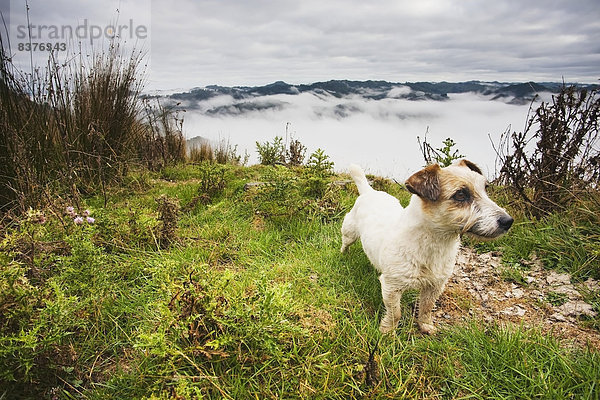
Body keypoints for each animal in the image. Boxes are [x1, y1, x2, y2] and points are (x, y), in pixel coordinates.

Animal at [340, 159, 512, 334]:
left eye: (485, 188)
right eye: (460, 195)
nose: (508, 221)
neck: (432, 243)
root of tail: (369, 192)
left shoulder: (435, 286)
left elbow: (427, 307)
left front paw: (425, 325)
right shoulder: (391, 287)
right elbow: (395, 313)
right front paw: (387, 331)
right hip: (349, 232)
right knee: (345, 243)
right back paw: (344, 255)